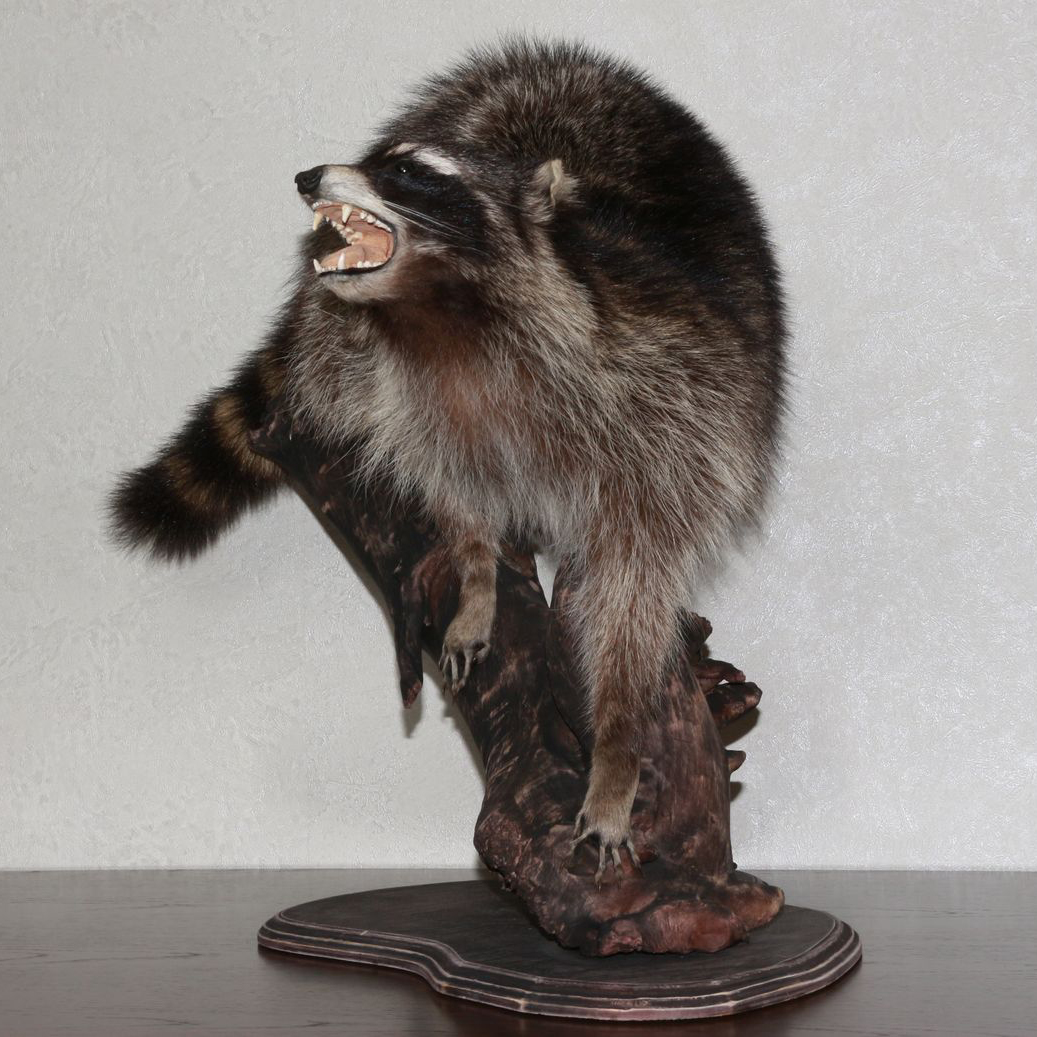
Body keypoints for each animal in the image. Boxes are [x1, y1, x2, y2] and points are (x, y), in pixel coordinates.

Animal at [110, 39, 786, 878]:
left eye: (410, 173)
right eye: (374, 160)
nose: (308, 176)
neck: (442, 320)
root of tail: (564, 64)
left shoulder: (668, 411)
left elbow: (635, 588)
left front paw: (617, 750)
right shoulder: (418, 402)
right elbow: (455, 491)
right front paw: (475, 576)